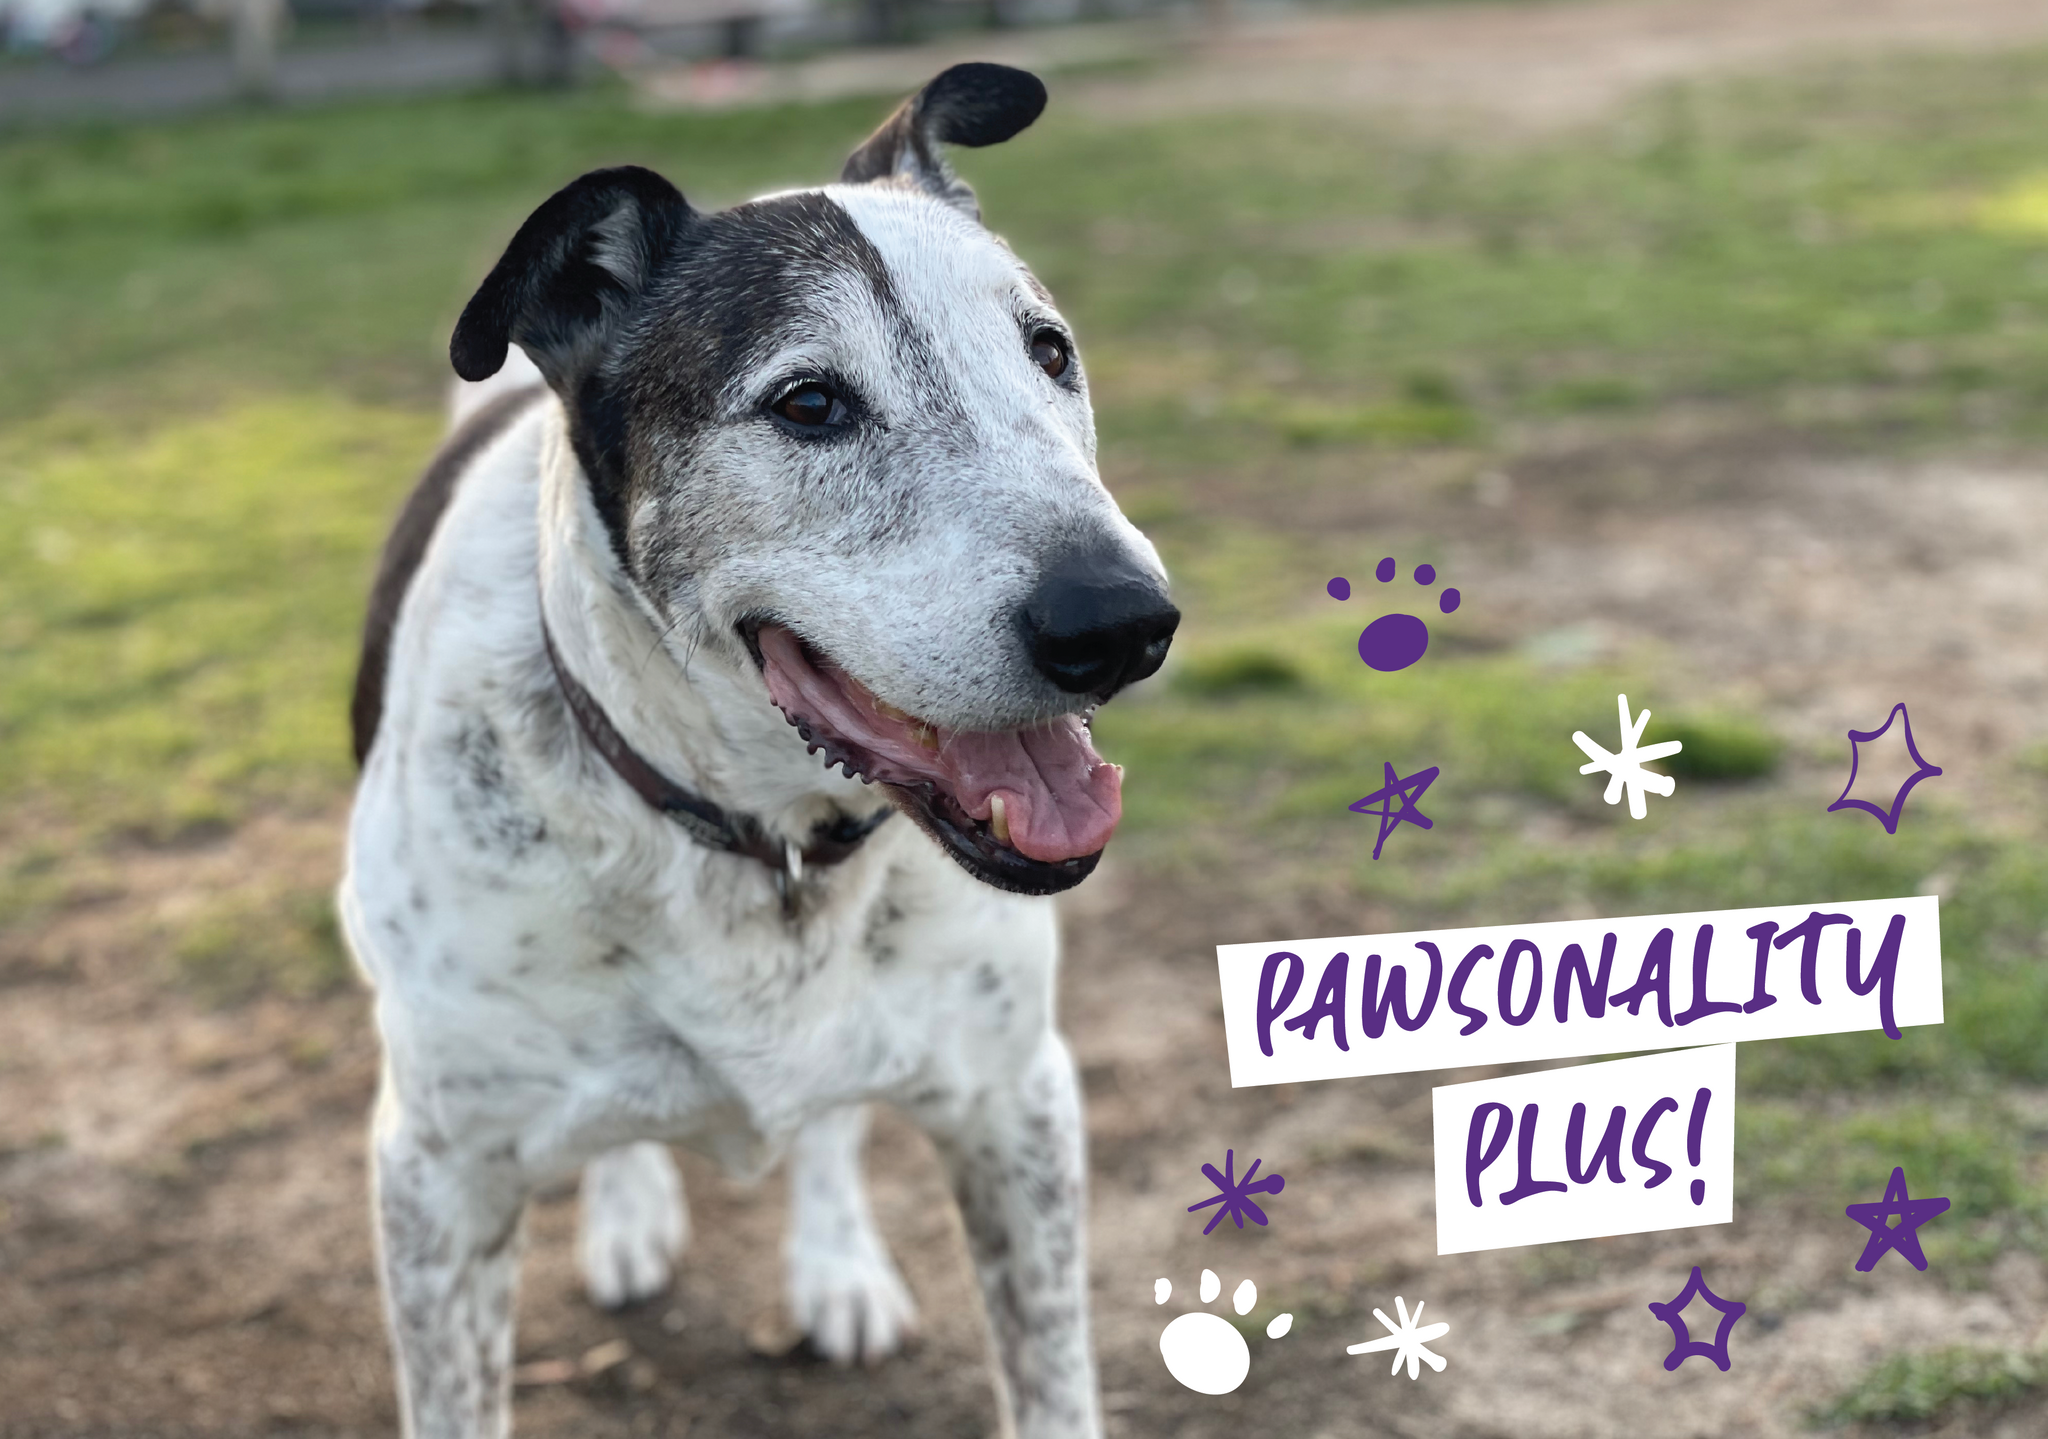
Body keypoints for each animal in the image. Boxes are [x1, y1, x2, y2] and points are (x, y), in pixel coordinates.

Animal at [342, 64, 1179, 1439]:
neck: (757, 838)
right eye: (809, 404)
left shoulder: (1016, 1103)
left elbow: (1051, 1374)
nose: (1122, 624)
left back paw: (835, 1265)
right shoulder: (436, 1178)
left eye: (1047, 351)